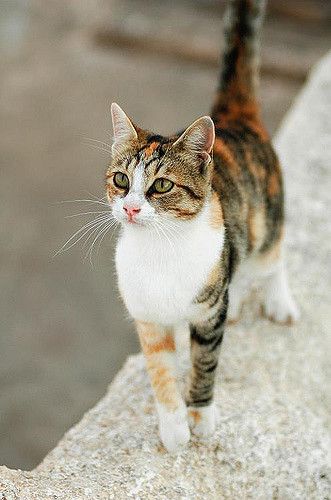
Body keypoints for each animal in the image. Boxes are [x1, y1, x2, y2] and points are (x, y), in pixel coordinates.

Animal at [105, 0, 300, 454]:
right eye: (121, 180)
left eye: (161, 185)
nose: (132, 208)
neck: (160, 248)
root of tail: (236, 118)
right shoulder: (147, 317)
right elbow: (160, 370)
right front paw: (174, 427)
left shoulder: (209, 311)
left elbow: (206, 362)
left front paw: (200, 415)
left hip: (265, 222)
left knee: (273, 258)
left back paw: (277, 299)